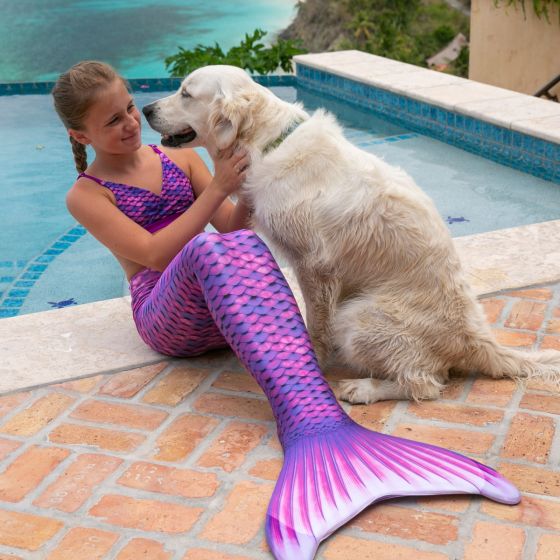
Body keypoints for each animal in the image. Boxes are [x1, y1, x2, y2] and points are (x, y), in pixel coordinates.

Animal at [142, 66, 560, 402]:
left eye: (186, 93)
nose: (146, 110)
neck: (266, 142)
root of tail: (477, 338)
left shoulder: (313, 265)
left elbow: (315, 323)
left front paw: (312, 356)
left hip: (358, 317)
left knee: (425, 384)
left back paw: (364, 388)